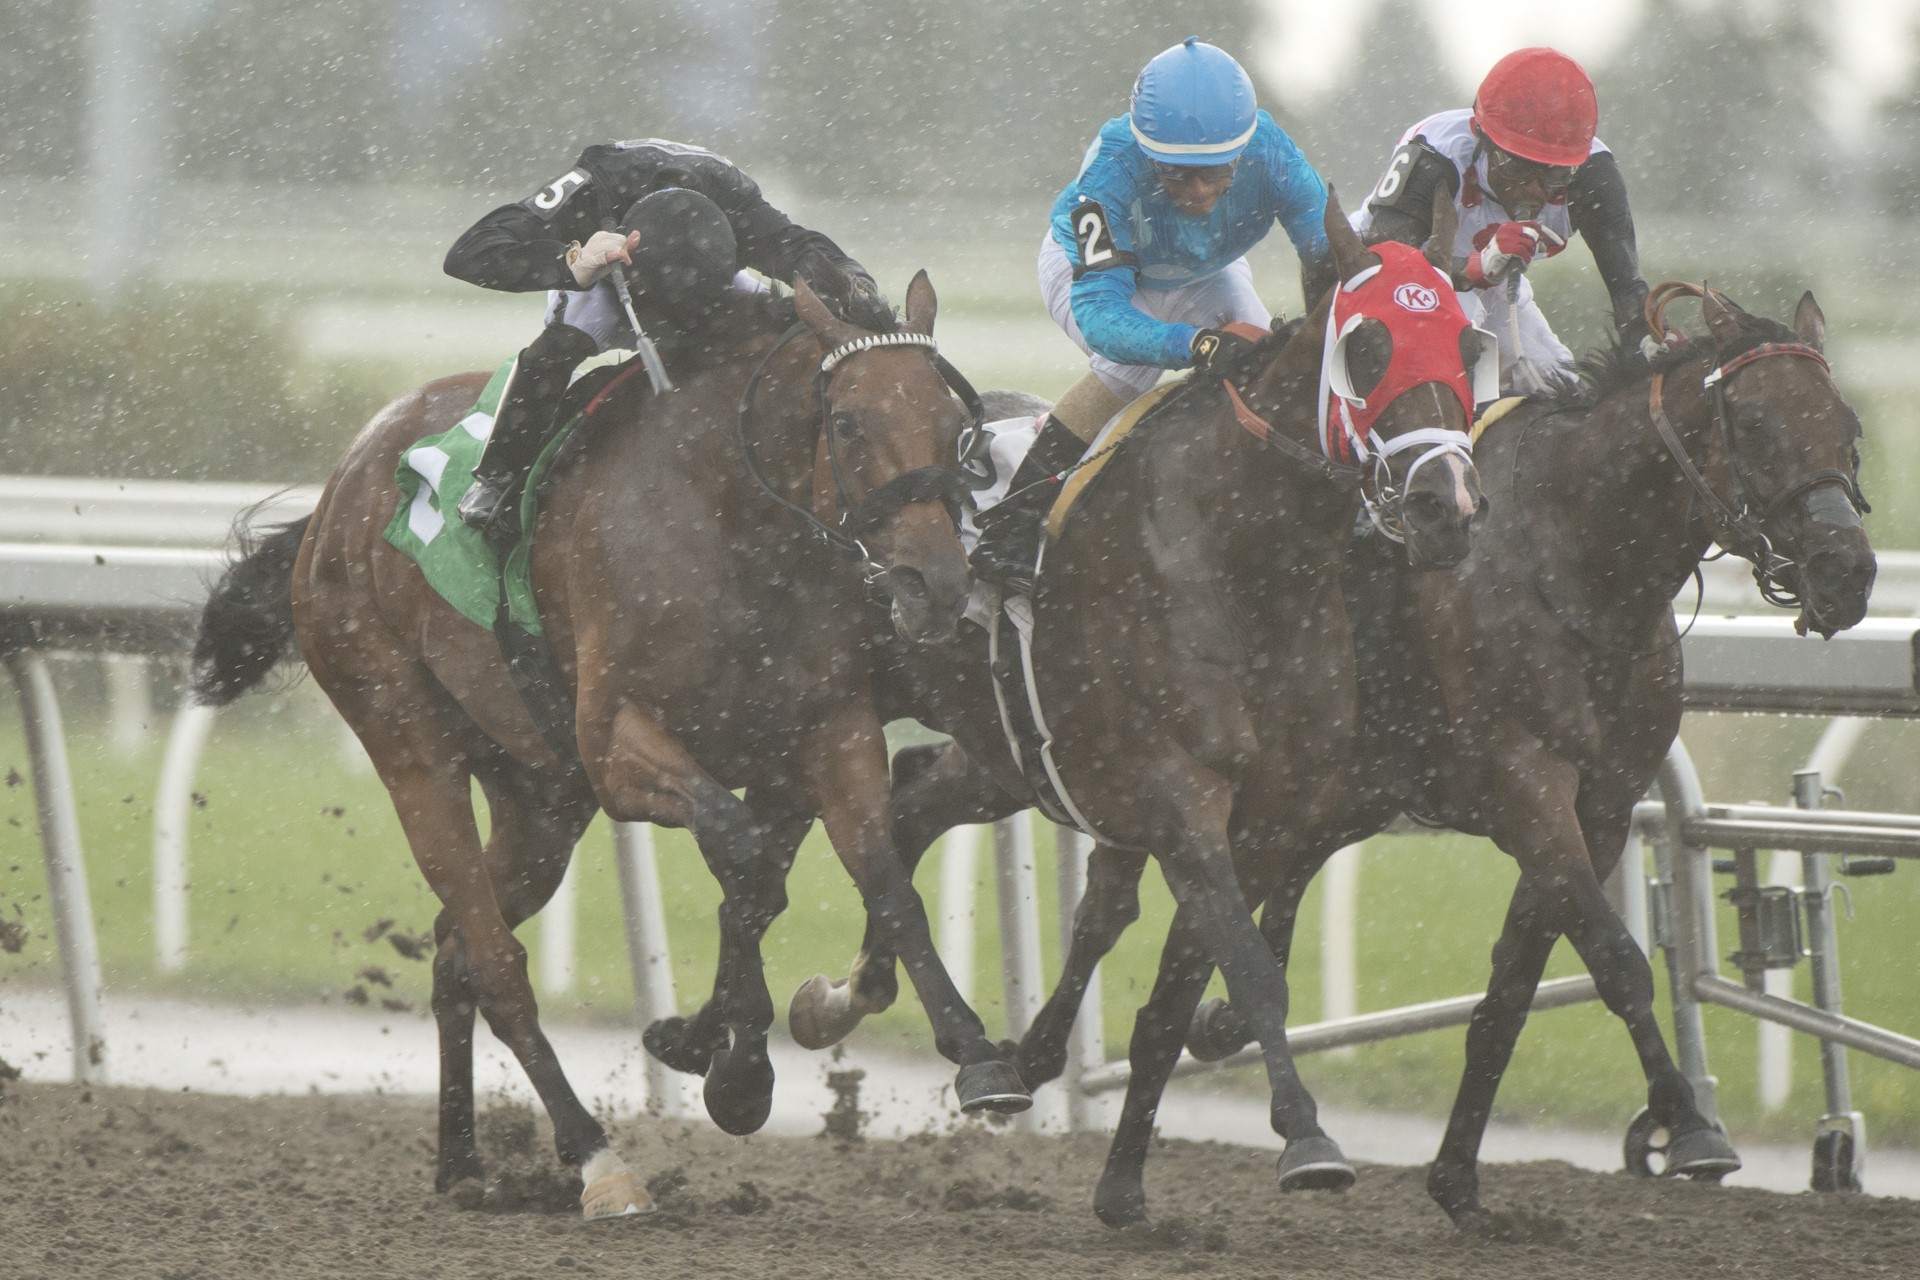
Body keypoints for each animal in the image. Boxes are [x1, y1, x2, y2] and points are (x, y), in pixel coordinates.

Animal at [191, 276, 1036, 1220]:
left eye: (956, 429)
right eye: (848, 422)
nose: (939, 585)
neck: (728, 526)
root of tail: (336, 494)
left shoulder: (829, 732)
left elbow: (881, 883)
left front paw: (976, 1056)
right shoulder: (617, 746)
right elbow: (744, 856)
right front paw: (738, 1071)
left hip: (541, 798)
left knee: (456, 947)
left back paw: (463, 1162)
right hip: (411, 747)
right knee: (497, 961)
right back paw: (597, 1158)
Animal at [787, 188, 1489, 1220]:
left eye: (1471, 344)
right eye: (1368, 345)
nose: (1447, 504)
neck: (1240, 557)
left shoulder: (1269, 815)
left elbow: (1175, 995)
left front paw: (1121, 1182)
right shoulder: (1179, 792)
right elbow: (1250, 973)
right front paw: (1307, 1139)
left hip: (1007, 753)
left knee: (913, 806)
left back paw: (859, 1002)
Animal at [975, 282, 1873, 1228]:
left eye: (1845, 424)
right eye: (1759, 425)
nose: (1846, 571)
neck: (1572, 559)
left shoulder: (1601, 806)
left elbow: (1511, 993)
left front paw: (1456, 1177)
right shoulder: (1526, 785)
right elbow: (1617, 959)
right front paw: (1689, 1127)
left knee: (1137, 917)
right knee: (1096, 899)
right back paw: (1027, 1063)